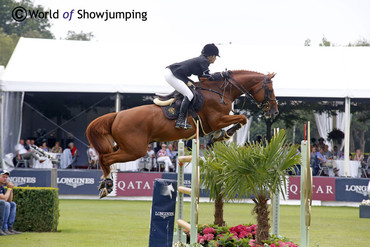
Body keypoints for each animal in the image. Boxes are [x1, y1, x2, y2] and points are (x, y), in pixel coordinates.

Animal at [86, 69, 278, 197]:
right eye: (269, 89)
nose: (274, 111)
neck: (219, 91)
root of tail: (117, 115)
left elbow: (238, 119)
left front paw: (218, 136)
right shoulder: (216, 120)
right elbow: (242, 118)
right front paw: (225, 133)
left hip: (126, 147)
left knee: (107, 156)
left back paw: (105, 184)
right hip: (135, 150)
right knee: (106, 159)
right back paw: (107, 184)